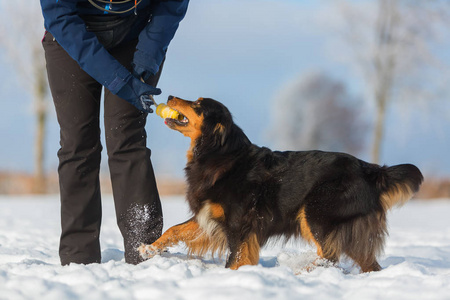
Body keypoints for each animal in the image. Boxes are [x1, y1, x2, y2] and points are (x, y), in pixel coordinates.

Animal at [139, 95, 424, 272]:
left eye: (198, 105)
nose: (170, 96)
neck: (219, 154)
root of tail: (370, 170)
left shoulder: (238, 225)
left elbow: (235, 258)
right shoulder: (209, 216)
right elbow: (174, 230)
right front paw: (148, 249)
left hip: (317, 214)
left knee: (330, 257)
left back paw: (302, 273)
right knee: (366, 264)